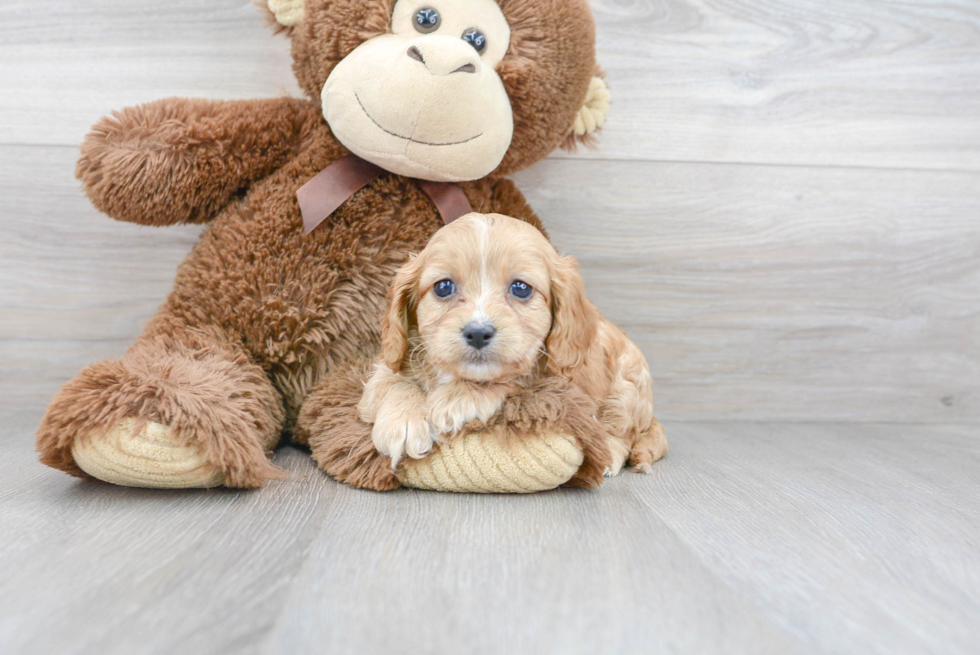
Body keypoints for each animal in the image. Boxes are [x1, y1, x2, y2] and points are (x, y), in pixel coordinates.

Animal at [356, 215, 668, 476]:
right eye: (443, 287)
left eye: (521, 288)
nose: (477, 333)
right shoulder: (384, 367)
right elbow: (392, 380)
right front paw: (403, 420)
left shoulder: (558, 379)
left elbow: (515, 377)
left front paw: (457, 397)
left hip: (627, 386)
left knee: (623, 435)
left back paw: (609, 457)